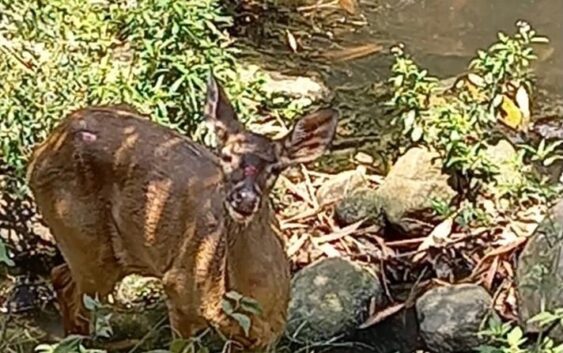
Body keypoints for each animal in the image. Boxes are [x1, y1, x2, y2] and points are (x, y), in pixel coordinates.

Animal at [26, 74, 340, 350]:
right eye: (225, 156)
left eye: (275, 168)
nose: (245, 199)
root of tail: (40, 151)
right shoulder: (178, 292)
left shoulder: (270, 332)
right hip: (83, 241)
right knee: (80, 297)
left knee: (61, 277)